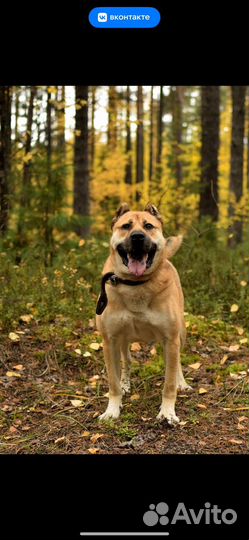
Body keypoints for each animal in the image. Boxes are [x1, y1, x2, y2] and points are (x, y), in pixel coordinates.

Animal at [94, 204, 190, 426]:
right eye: (126, 226)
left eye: (148, 226)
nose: (137, 237)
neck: (135, 284)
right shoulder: (110, 340)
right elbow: (113, 382)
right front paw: (112, 409)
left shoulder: (170, 339)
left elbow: (169, 383)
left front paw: (168, 412)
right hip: (123, 340)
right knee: (127, 360)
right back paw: (125, 383)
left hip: (180, 333)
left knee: (178, 363)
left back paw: (181, 382)